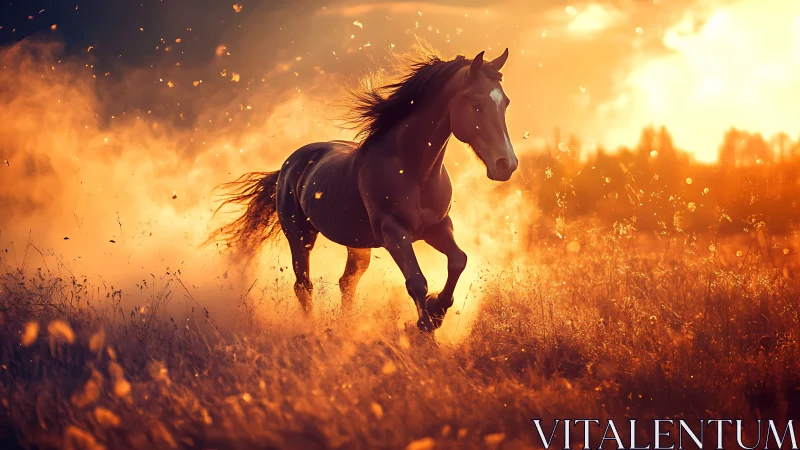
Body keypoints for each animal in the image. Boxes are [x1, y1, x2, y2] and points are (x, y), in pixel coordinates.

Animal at [208, 48, 517, 333]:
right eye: (476, 104)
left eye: (505, 103)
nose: (507, 164)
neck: (412, 170)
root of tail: (287, 166)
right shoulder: (394, 232)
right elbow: (416, 281)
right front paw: (426, 328)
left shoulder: (437, 227)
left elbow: (458, 260)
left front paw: (438, 309)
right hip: (300, 236)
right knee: (303, 285)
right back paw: (311, 328)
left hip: (356, 245)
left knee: (346, 283)